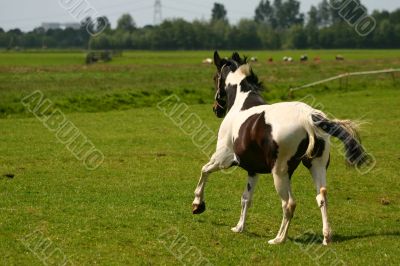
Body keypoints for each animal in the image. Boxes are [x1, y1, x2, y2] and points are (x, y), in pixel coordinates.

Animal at [192, 51, 370, 245]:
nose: (216, 109)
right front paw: (239, 227)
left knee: (289, 203)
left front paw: (197, 205)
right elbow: (246, 198)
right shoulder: (252, 170)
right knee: (321, 196)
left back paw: (279, 239)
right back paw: (326, 237)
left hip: (280, 172)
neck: (241, 105)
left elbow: (204, 171)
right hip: (316, 166)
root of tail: (308, 117)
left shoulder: (223, 159)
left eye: (215, 77)